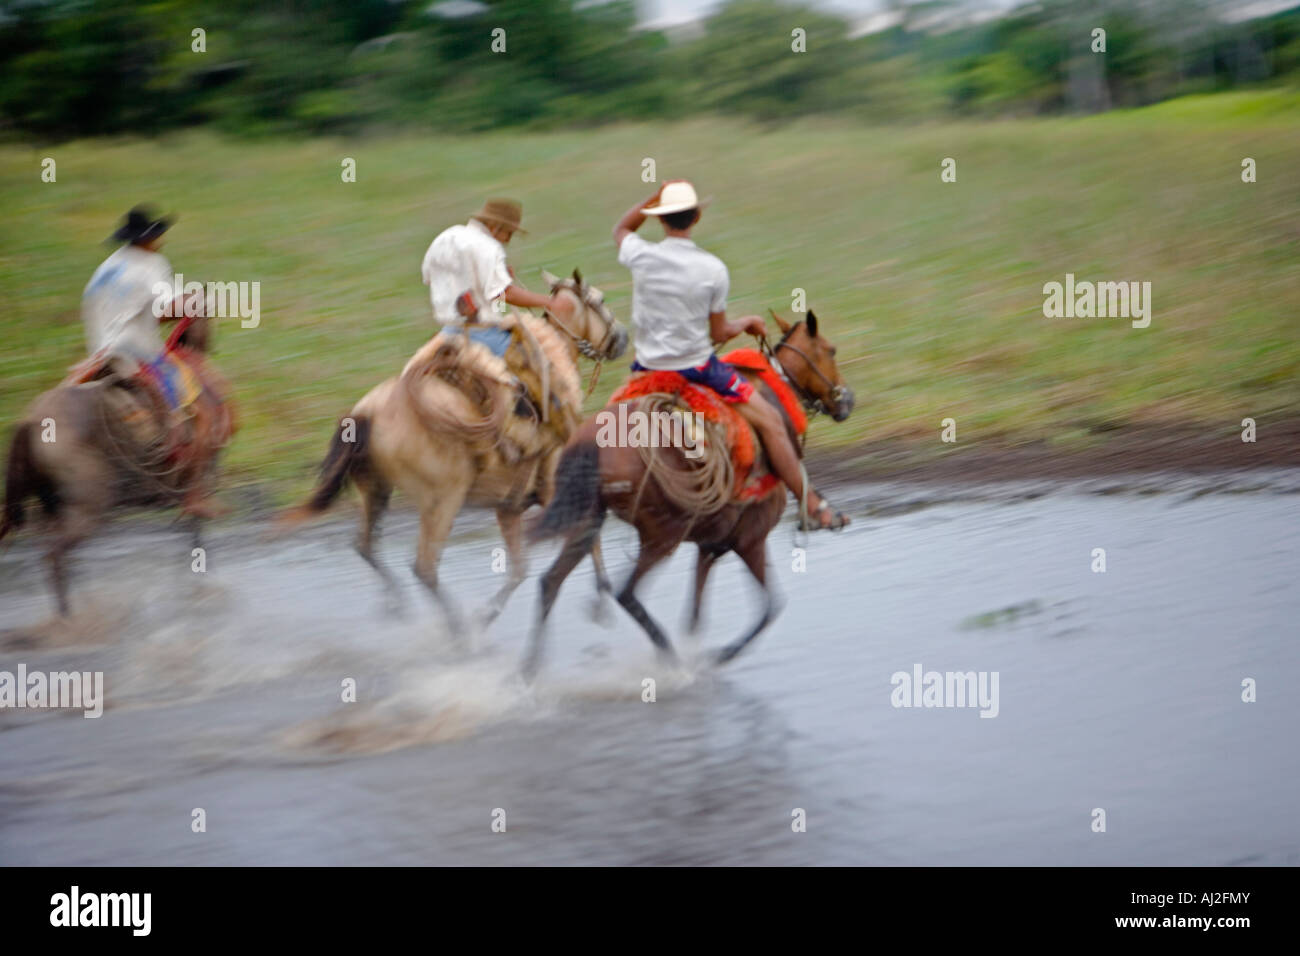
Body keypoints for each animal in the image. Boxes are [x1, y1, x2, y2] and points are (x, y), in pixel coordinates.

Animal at [284, 273, 629, 639]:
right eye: (601, 300)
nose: (622, 337)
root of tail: (366, 414)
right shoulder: (558, 492)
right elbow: (585, 540)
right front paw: (602, 598)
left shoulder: (509, 507)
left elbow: (519, 568)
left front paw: (488, 613)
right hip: (443, 499)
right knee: (423, 567)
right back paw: (460, 632)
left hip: (375, 489)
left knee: (366, 547)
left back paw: (399, 606)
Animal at [522, 310, 857, 676]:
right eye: (831, 350)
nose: (847, 400)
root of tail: (592, 441)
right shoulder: (750, 538)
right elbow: (770, 607)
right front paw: (721, 655)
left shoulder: (710, 545)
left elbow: (695, 616)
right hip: (663, 533)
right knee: (626, 593)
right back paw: (672, 662)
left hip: (589, 520)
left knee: (549, 582)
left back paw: (530, 672)